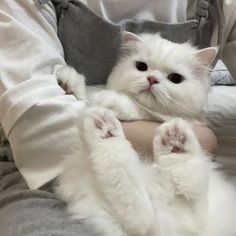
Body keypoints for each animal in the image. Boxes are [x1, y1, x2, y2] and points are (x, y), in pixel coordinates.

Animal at [54, 32, 236, 235]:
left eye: (175, 78)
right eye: (141, 67)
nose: (152, 79)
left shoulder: (172, 117)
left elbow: (138, 108)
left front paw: (109, 100)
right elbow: (83, 97)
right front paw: (67, 81)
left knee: (151, 212)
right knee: (137, 211)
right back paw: (107, 128)